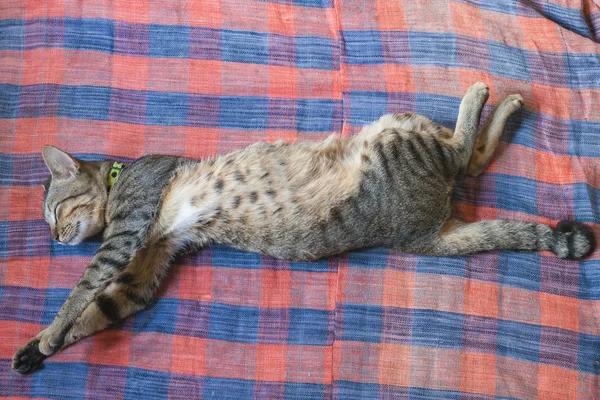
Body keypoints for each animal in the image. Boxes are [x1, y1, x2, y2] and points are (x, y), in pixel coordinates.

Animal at [11, 83, 592, 374]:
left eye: (56, 213)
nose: (56, 238)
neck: (119, 177)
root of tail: (421, 232)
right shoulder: (142, 273)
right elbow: (99, 309)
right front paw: (38, 347)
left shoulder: (128, 230)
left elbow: (82, 289)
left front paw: (50, 330)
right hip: (409, 146)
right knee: (468, 158)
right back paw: (506, 105)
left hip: (395, 138)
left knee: (461, 148)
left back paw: (481, 94)